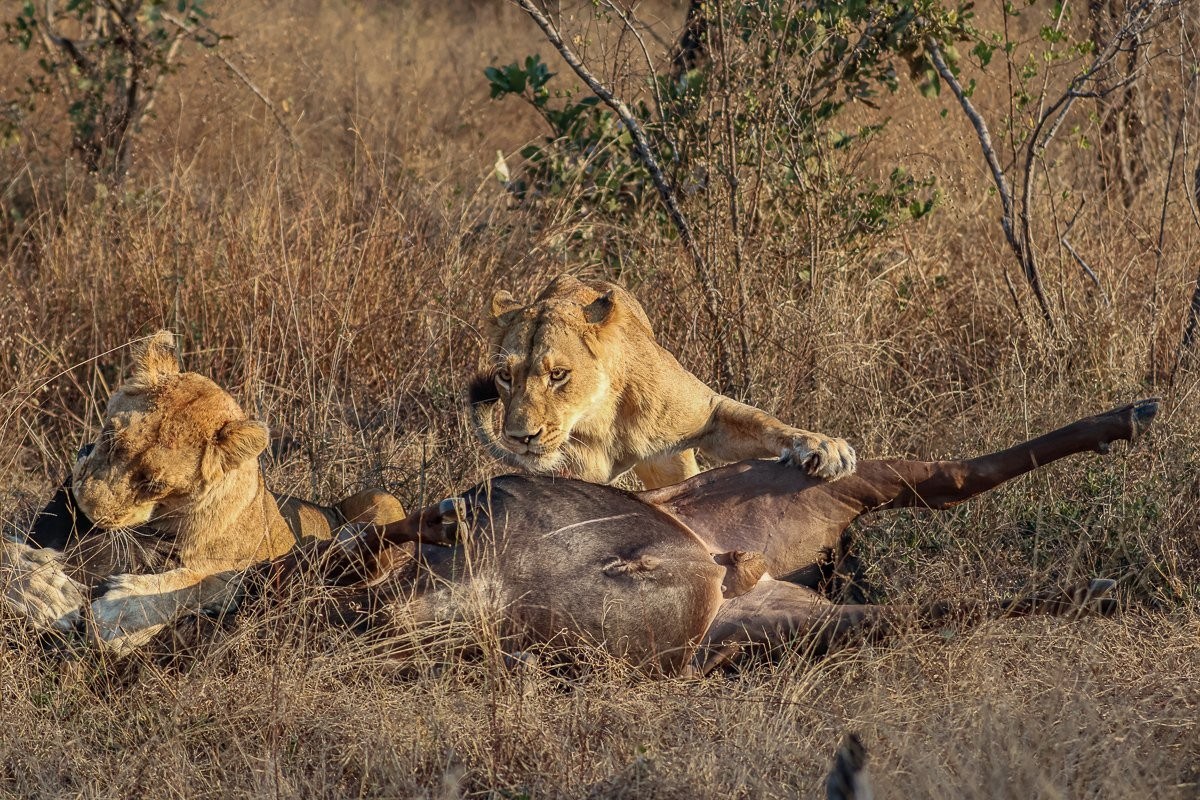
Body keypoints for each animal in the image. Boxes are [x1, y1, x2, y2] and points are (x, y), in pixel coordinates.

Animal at [0, 331, 405, 652]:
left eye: (155, 484)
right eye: (110, 437)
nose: (85, 511)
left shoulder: (246, 575)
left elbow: (196, 582)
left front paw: (120, 614)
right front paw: (40, 589)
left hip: (381, 498)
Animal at [468, 274, 856, 489]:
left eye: (558, 374)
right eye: (505, 376)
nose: (520, 438)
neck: (600, 417)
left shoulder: (709, 414)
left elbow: (764, 421)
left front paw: (823, 447)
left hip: (671, 463)